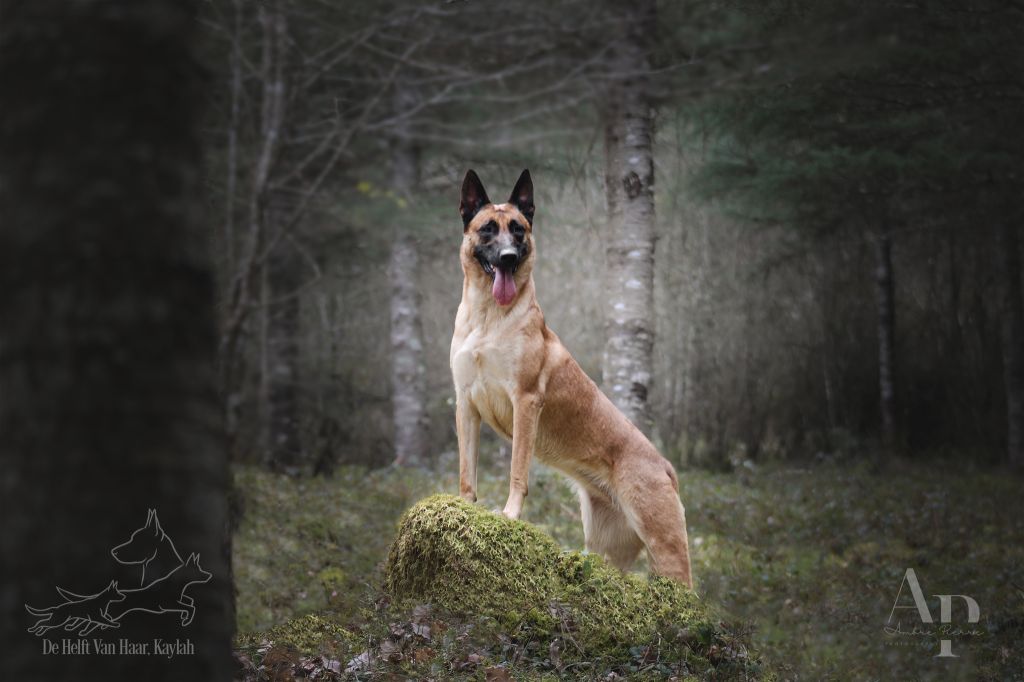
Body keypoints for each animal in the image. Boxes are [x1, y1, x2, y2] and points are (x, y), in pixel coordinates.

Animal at [450, 166, 696, 581]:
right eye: (487, 230)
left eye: (518, 230)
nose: (508, 257)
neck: (488, 317)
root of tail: (665, 467)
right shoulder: (466, 403)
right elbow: (468, 470)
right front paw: (464, 506)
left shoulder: (525, 401)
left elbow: (518, 470)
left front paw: (510, 514)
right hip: (608, 550)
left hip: (665, 549)